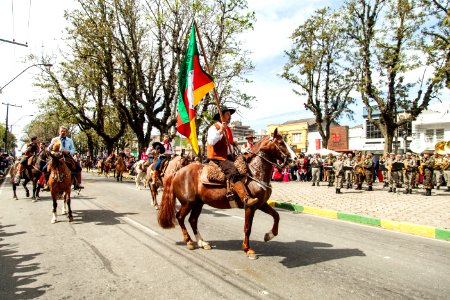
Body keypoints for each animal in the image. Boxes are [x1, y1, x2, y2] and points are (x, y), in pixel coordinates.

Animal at [156, 128, 298, 258]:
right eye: (280, 142)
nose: (295, 158)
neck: (254, 172)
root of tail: (177, 172)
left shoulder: (262, 204)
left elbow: (276, 216)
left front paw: (269, 235)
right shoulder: (250, 206)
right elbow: (247, 228)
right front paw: (247, 249)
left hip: (198, 203)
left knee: (192, 220)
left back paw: (202, 242)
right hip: (188, 203)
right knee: (180, 217)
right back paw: (189, 242)